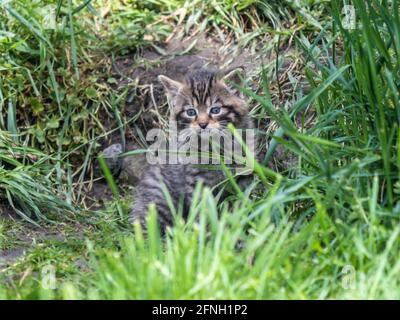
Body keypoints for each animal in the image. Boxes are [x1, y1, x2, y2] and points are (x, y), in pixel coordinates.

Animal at [131, 67, 256, 232]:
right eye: (191, 112)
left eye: (215, 110)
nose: (202, 124)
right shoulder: (197, 181)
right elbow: (202, 209)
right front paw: (206, 231)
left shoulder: (244, 170)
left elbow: (243, 197)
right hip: (158, 198)